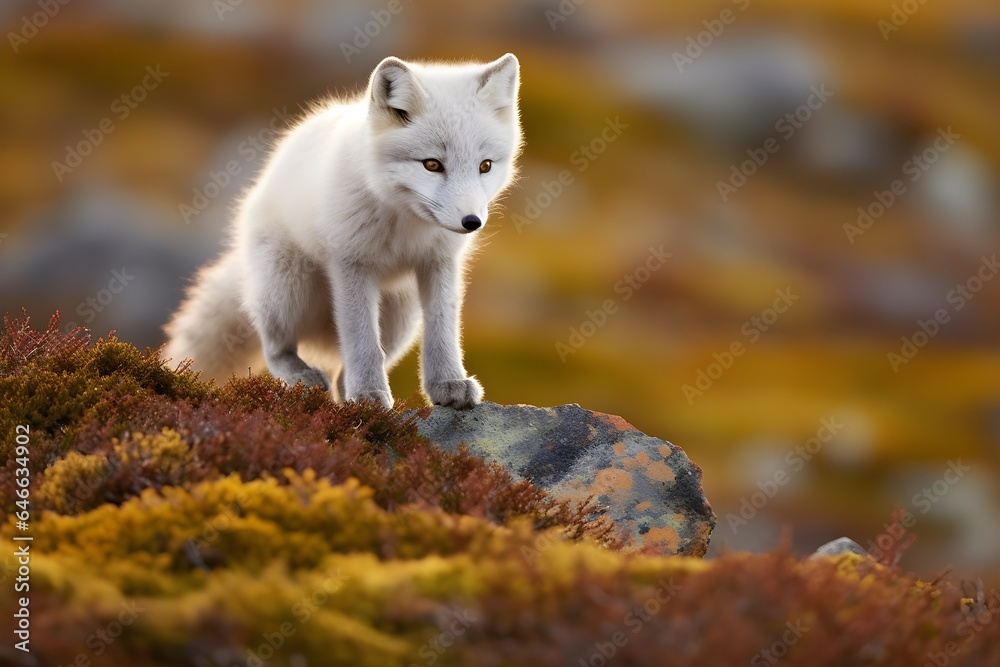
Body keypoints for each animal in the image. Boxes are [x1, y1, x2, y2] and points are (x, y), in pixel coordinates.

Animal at [162, 53, 524, 408]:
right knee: (275, 346)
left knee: (347, 369)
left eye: (485, 166)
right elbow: (361, 340)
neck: (404, 224)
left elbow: (443, 332)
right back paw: (303, 377)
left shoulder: (439, 263)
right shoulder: (350, 264)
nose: (472, 222)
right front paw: (367, 394)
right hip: (286, 289)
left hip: (400, 315)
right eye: (432, 164)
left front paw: (447, 384)